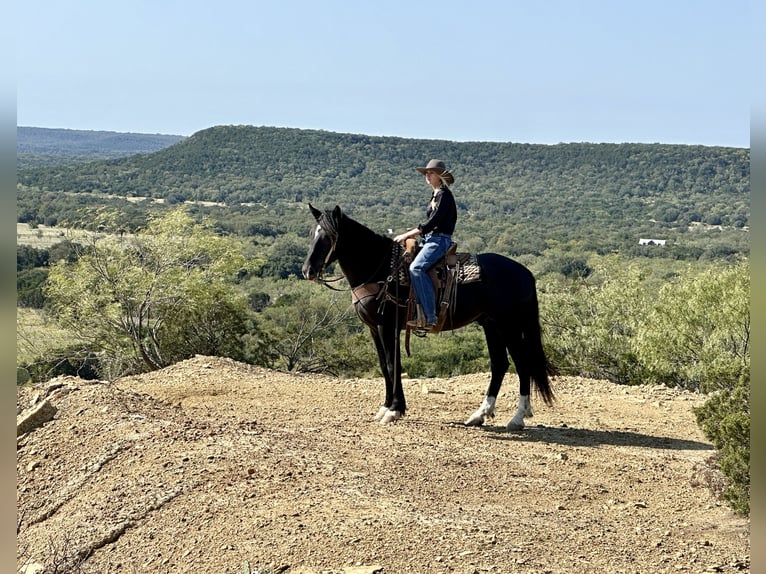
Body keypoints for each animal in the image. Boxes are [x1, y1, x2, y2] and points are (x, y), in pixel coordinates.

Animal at [302, 205, 560, 430]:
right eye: (313, 234)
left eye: (329, 236)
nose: (308, 271)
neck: (381, 269)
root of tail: (525, 272)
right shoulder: (374, 328)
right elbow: (385, 366)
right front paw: (386, 407)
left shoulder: (387, 326)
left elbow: (392, 364)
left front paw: (394, 410)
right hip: (492, 325)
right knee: (500, 364)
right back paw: (480, 414)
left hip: (509, 325)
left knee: (522, 364)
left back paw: (518, 418)